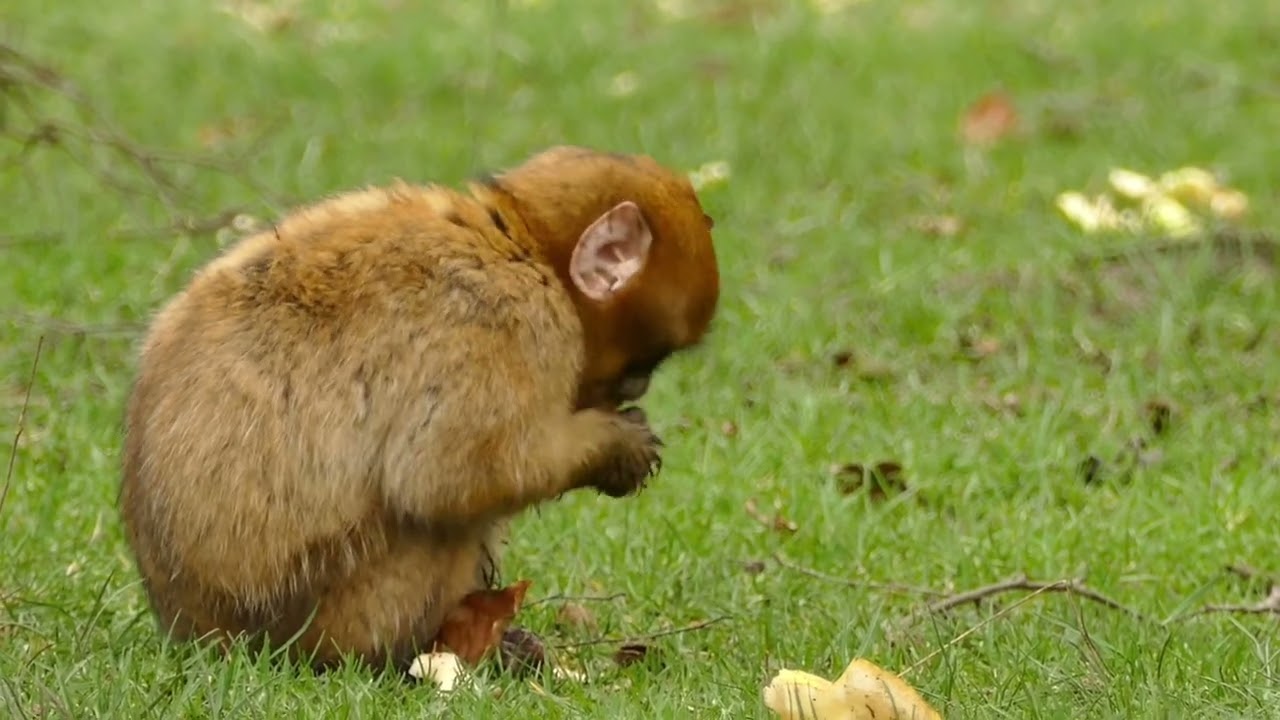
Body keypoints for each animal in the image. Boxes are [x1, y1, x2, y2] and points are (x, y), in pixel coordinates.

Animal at [118, 145, 720, 671]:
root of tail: (196, 631)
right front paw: (615, 447)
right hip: (337, 613)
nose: (636, 390)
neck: (521, 245)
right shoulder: (508, 321)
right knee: (436, 520)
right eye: (645, 363)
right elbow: (448, 476)